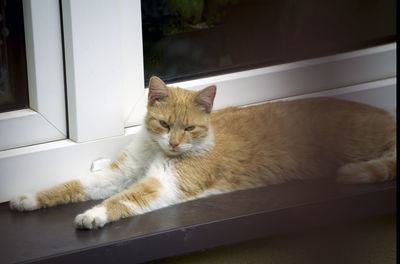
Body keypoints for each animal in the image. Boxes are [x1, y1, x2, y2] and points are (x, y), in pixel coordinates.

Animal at [8, 76, 394, 229]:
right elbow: (71, 186)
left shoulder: (162, 184)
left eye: (190, 128)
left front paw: (93, 216)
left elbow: (123, 199)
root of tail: (387, 117)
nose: (175, 144)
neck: (157, 152)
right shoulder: (119, 174)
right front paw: (28, 198)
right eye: (165, 124)